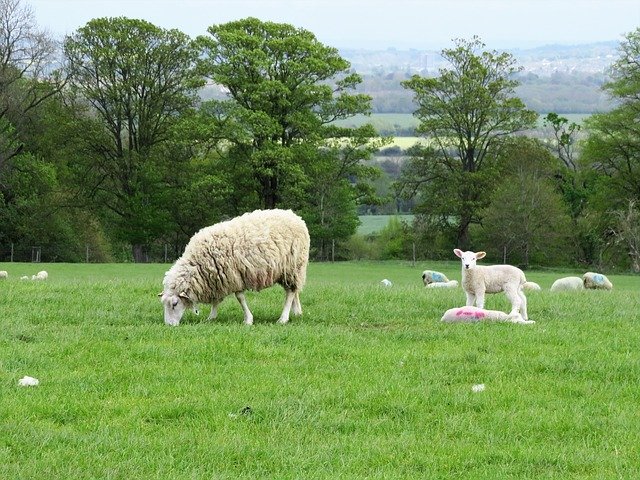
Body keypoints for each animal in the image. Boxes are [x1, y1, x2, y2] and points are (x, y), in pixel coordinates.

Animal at [160, 209, 310, 326]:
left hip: (293, 266)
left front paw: (248, 320)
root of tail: (295, 217)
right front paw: (211, 317)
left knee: (290, 292)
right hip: (288, 271)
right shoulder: (217, 278)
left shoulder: (234, 275)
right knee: (294, 291)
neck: (198, 264)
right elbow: (216, 300)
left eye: (174, 304)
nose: (169, 326)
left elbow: (240, 298)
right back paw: (297, 312)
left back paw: (283, 318)